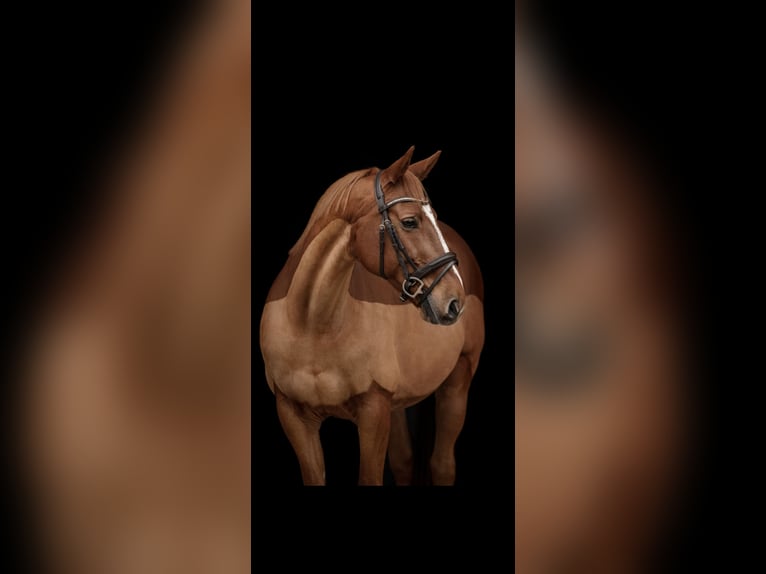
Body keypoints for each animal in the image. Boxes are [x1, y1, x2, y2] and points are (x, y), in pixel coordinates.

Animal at [260, 147, 484, 486]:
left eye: (433, 218)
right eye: (409, 222)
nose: (454, 302)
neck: (311, 325)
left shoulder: (373, 410)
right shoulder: (294, 416)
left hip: (457, 382)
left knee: (443, 464)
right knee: (404, 461)